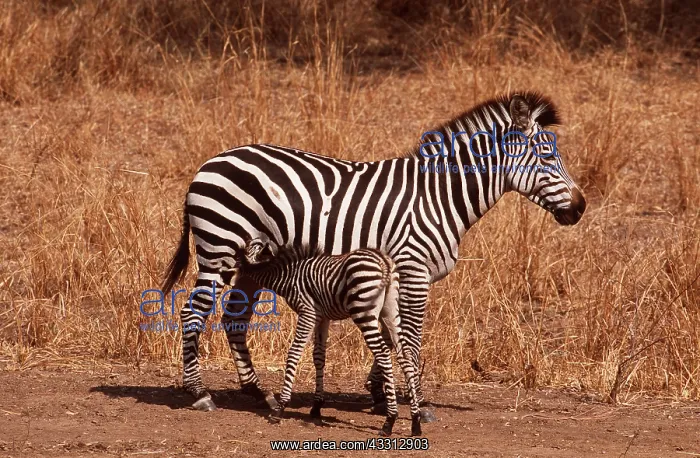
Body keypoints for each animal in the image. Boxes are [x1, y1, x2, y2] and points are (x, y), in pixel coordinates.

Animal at [239, 237, 422, 436]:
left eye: (242, 253)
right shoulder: (322, 317)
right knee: (405, 355)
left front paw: (280, 408)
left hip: (364, 311)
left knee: (382, 353)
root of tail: (384, 261)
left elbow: (294, 353)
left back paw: (390, 420)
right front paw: (316, 407)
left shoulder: (308, 312)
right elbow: (319, 357)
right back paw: (416, 421)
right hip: (391, 312)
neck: (288, 275)